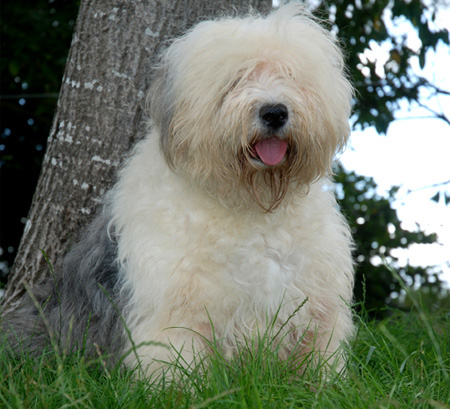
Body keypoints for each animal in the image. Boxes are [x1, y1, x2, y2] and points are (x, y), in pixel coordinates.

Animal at [3, 3, 356, 378]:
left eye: (290, 76)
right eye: (236, 80)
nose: (274, 112)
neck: (254, 206)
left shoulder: (317, 307)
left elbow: (318, 360)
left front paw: (324, 384)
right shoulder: (177, 311)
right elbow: (176, 365)